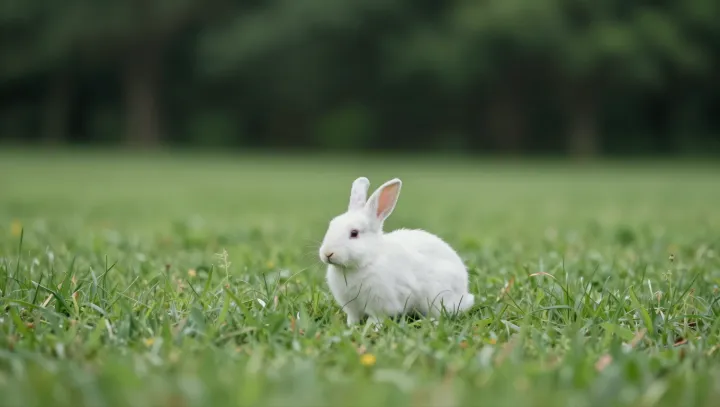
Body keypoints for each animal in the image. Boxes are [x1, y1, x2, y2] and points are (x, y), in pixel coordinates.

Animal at [319, 176, 475, 326]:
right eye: (331, 225)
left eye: (354, 233)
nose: (327, 253)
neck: (367, 261)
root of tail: (465, 294)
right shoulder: (352, 306)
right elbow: (353, 317)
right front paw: (351, 326)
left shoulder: (380, 303)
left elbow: (376, 318)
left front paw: (372, 327)